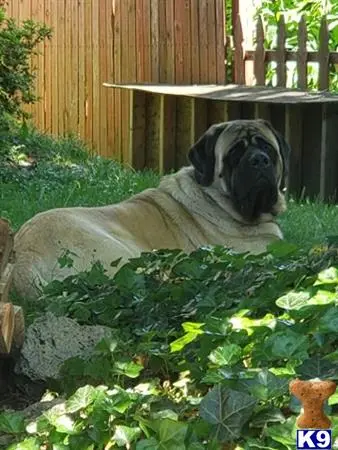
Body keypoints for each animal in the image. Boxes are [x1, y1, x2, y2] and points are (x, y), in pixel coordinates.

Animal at [12, 118, 290, 298]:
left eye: (266, 146)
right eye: (235, 153)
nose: (259, 160)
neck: (216, 198)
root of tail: (25, 255)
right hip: (127, 254)